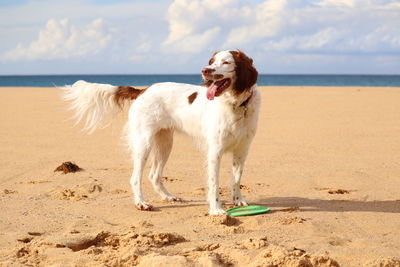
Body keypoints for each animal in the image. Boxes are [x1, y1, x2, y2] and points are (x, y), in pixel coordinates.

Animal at [62, 50, 260, 217]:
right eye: (211, 62)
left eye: (226, 62)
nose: (204, 70)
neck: (236, 105)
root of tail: (143, 90)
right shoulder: (214, 152)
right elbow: (214, 183)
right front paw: (216, 209)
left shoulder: (242, 150)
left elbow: (236, 179)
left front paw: (239, 200)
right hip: (144, 143)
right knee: (135, 178)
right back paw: (141, 203)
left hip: (165, 143)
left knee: (154, 175)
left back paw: (169, 197)